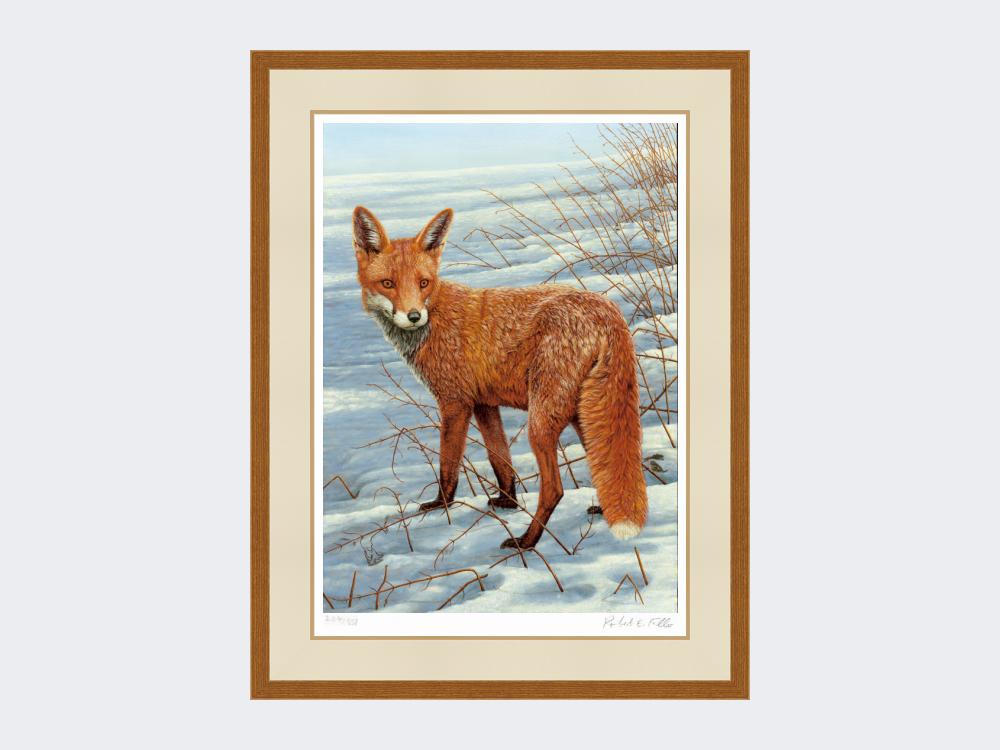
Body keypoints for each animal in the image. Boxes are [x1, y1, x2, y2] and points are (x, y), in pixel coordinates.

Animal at [352, 205, 647, 549]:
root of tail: (608, 311)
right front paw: (508, 501)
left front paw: (441, 505)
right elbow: (500, 461)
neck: (436, 316)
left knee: (555, 489)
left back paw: (527, 541)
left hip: (542, 420)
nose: (414, 316)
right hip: (583, 413)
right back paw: (604, 509)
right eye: (388, 283)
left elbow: (448, 466)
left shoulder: (455, 403)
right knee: (610, 463)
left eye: (424, 283)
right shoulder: (484, 404)